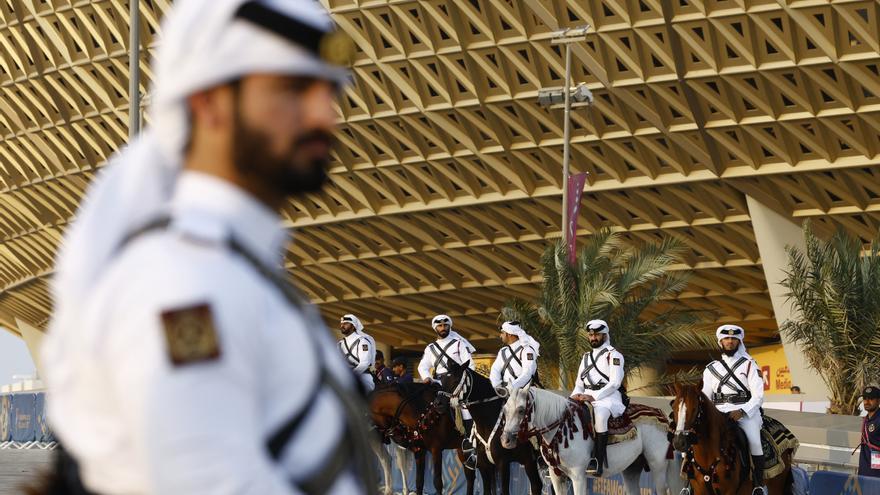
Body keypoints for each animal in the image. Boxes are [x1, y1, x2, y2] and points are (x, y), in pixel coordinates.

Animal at [438, 360, 544, 495]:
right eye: (442, 380)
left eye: (456, 380)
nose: (438, 403)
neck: (487, 422)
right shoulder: (484, 466)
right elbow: (487, 490)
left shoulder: (503, 463)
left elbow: (504, 491)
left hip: (529, 461)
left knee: (537, 486)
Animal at [502, 388, 680, 495]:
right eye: (504, 410)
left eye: (521, 410)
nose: (505, 440)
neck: (561, 428)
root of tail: (661, 415)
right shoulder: (556, 476)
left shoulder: (578, 476)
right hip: (632, 468)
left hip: (658, 466)